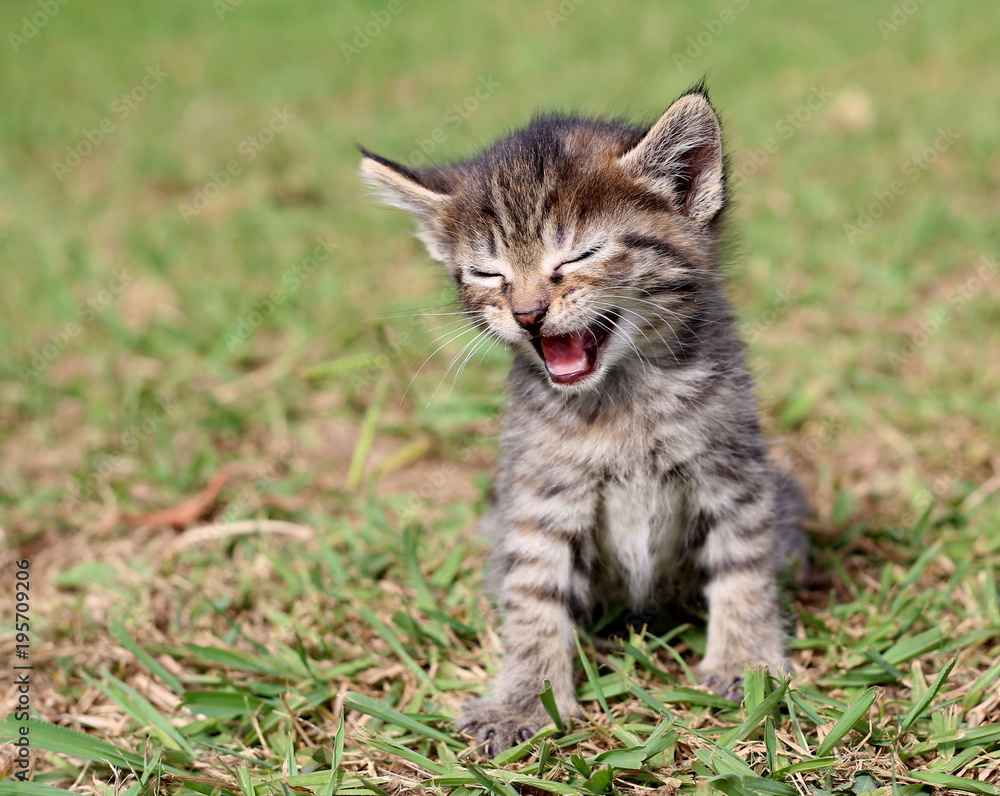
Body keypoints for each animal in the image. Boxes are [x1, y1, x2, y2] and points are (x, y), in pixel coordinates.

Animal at [360, 87, 804, 760]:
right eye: (489, 273)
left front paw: (747, 663)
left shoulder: (733, 471)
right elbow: (536, 597)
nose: (527, 313)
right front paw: (524, 700)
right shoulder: (540, 494)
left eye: (580, 255)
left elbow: (742, 565)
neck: (620, 398)